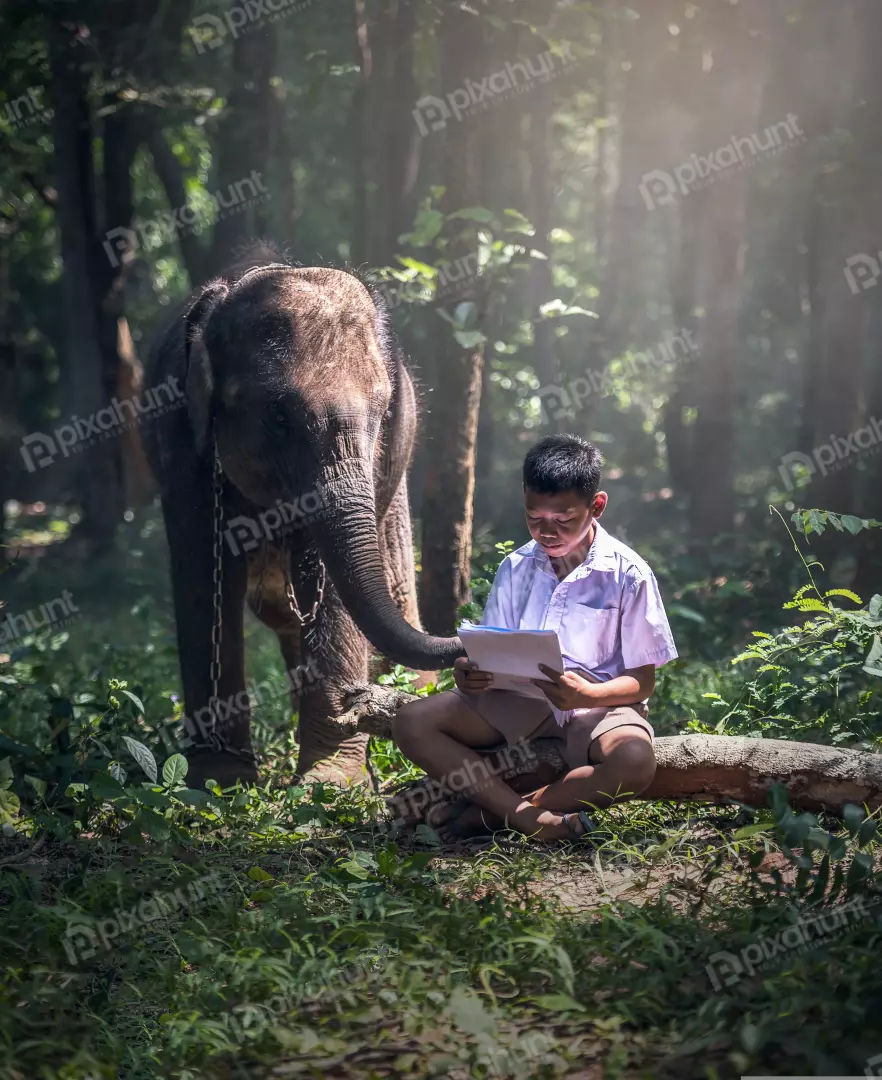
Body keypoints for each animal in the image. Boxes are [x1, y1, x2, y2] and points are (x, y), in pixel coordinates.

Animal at [141, 245, 464, 786]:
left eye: (382, 411)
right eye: (279, 415)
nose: (466, 646)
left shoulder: (381, 461)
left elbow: (337, 590)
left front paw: (330, 781)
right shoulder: (179, 442)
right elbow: (204, 578)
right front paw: (216, 780)